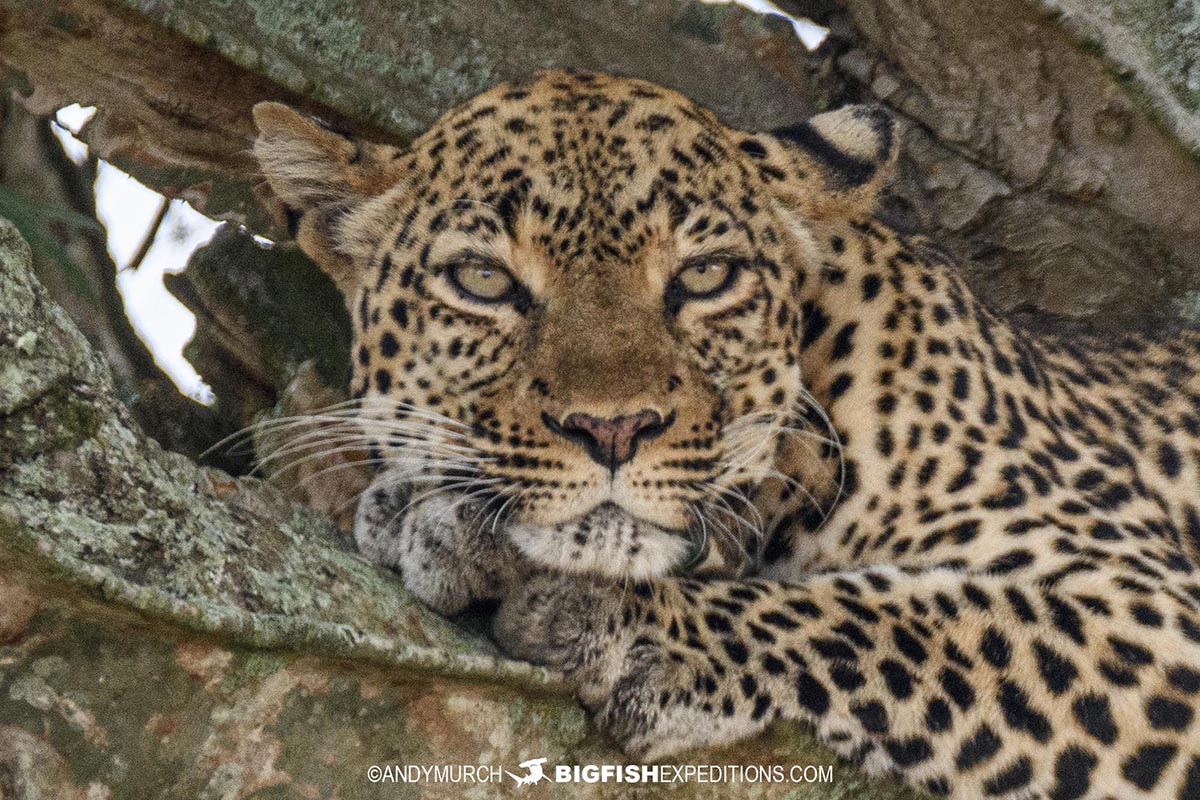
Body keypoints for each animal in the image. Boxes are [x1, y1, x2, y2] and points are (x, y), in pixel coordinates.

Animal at [253, 71, 1200, 796]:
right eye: (483, 280)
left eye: (706, 275)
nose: (613, 428)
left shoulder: (1147, 607)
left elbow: (895, 619)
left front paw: (612, 622)